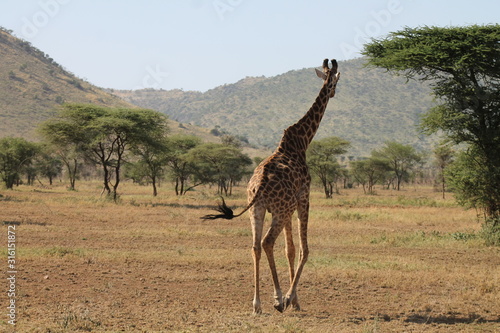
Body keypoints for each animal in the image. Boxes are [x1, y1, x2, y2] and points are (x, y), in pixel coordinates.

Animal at [202, 58, 340, 312]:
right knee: (267, 242)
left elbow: (290, 250)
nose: (333, 92)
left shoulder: (288, 208)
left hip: (258, 209)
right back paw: (277, 299)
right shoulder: (303, 198)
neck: (301, 142)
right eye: (335, 80)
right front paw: (290, 298)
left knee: (255, 245)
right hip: (278, 210)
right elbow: (304, 249)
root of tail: (259, 186)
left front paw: (294, 301)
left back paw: (257, 304)